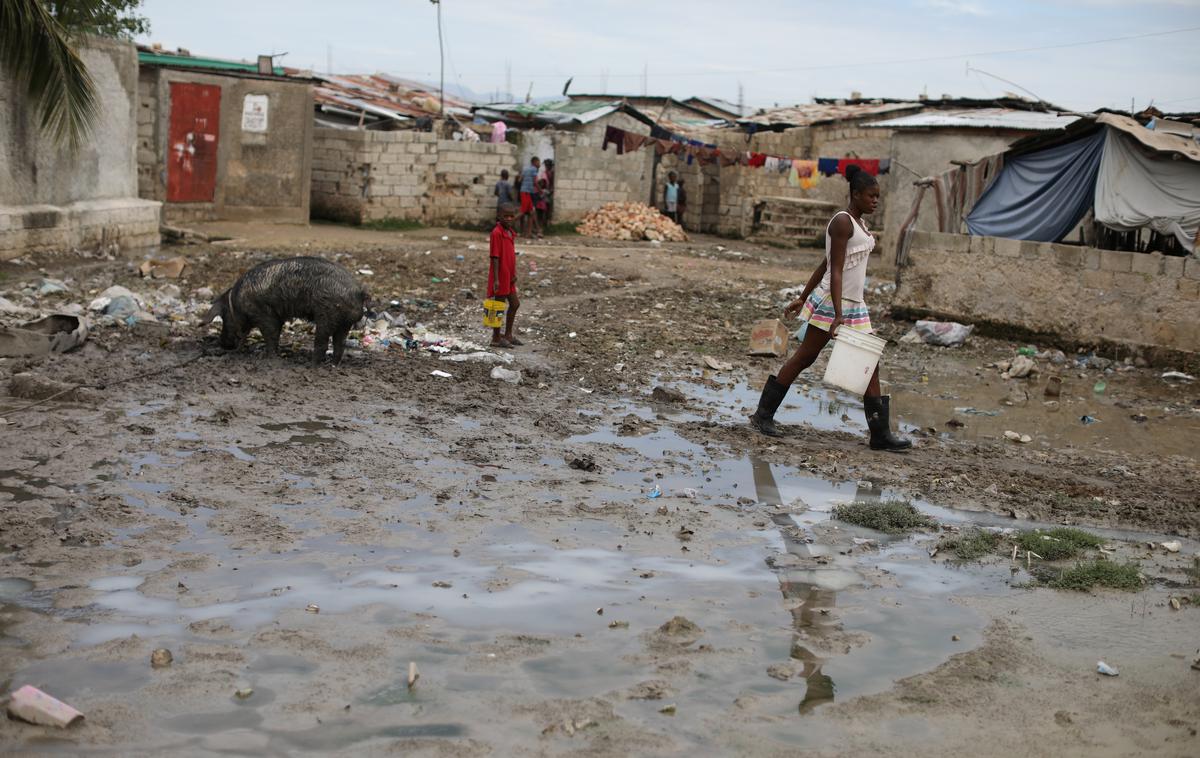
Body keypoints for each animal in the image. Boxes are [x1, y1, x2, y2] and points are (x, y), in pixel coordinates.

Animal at [204, 256, 367, 364]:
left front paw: (267, 357)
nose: (222, 343)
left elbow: (271, 334)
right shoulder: (277, 316)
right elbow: (276, 333)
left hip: (327, 315)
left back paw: (311, 364)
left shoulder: (263, 314)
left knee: (322, 342)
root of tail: (358, 292)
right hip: (344, 322)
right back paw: (333, 364)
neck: (237, 301)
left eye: (223, 316)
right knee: (340, 343)